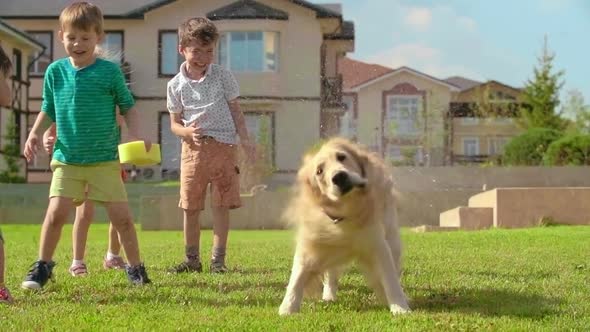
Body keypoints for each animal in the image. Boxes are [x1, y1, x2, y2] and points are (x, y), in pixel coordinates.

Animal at [278, 137, 412, 316]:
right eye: (319, 171)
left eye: (342, 157)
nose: (339, 177)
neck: (345, 214)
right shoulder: (310, 244)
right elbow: (296, 277)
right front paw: (287, 308)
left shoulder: (378, 245)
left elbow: (390, 279)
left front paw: (400, 307)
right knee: (331, 274)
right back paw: (329, 296)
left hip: (391, 237)